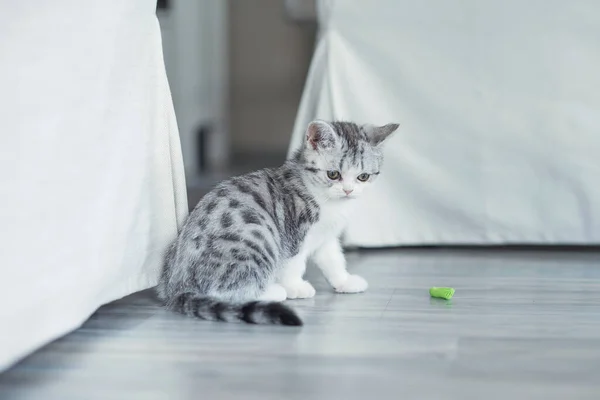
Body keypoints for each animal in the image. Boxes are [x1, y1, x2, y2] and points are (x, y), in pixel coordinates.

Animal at [156, 121, 398, 324]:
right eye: (333, 174)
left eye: (363, 177)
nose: (348, 190)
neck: (329, 202)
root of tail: (177, 287)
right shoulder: (294, 233)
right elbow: (294, 263)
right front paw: (295, 287)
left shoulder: (326, 236)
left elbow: (333, 259)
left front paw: (344, 281)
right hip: (257, 235)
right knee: (224, 289)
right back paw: (272, 292)